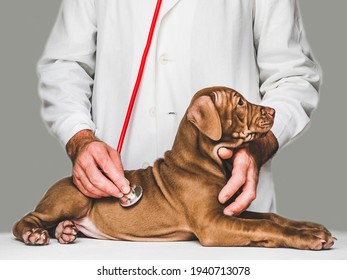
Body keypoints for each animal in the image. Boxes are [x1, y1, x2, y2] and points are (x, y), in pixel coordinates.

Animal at [12, 87, 336, 249]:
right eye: (240, 103)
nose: (273, 110)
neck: (204, 162)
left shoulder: (230, 210)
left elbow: (271, 217)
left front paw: (310, 227)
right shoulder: (211, 224)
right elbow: (264, 225)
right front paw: (310, 238)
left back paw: (66, 231)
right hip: (75, 195)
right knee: (27, 220)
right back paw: (34, 234)